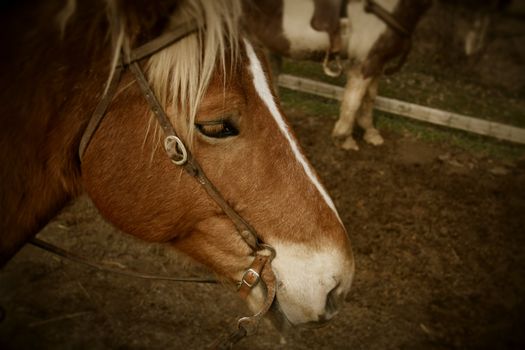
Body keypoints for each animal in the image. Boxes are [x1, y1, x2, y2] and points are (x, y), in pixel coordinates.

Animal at [242, 0, 430, 149]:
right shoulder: (365, 62)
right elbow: (354, 101)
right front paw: (344, 138)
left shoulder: (377, 62)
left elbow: (369, 97)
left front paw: (370, 133)